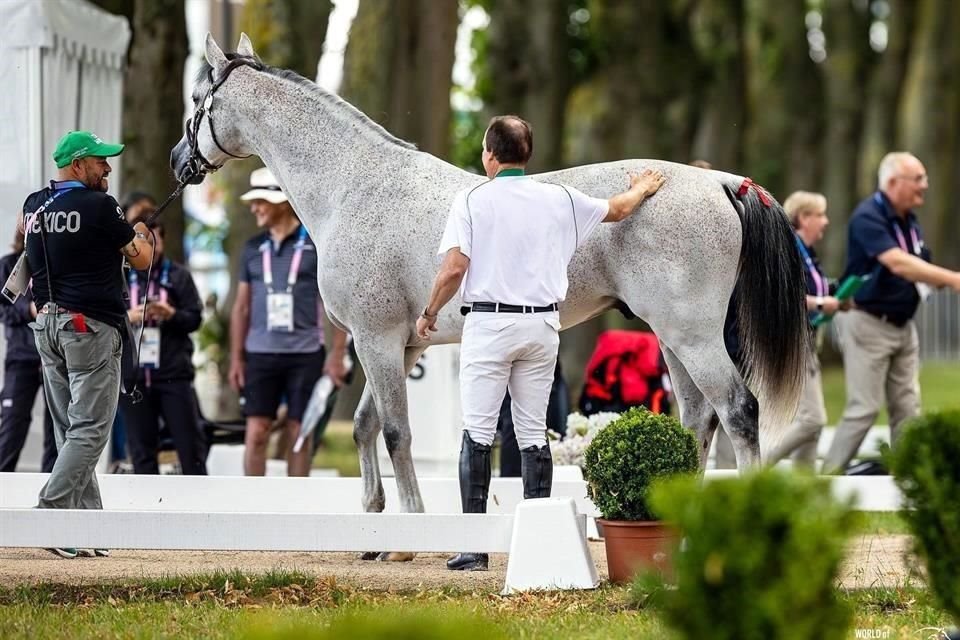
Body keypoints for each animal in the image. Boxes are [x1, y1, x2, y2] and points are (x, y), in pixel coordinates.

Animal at [172, 32, 808, 524]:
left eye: (198, 99)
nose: (180, 161)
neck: (355, 185)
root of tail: (720, 182)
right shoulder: (399, 343)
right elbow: (364, 425)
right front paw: (374, 526)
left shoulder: (375, 338)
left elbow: (396, 431)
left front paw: (410, 528)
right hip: (673, 338)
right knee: (697, 419)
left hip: (692, 335)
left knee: (739, 412)